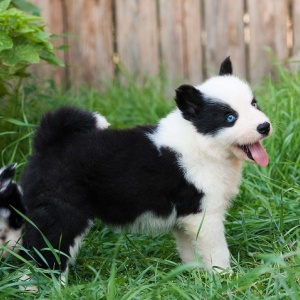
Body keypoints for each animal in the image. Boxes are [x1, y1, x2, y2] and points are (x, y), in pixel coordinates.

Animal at [21, 56, 272, 274]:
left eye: (254, 104)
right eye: (230, 118)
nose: (265, 126)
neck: (203, 142)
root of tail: (48, 144)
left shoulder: (185, 219)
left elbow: (189, 251)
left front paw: (193, 276)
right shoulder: (204, 215)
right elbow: (217, 252)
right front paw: (226, 278)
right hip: (62, 213)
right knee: (45, 251)